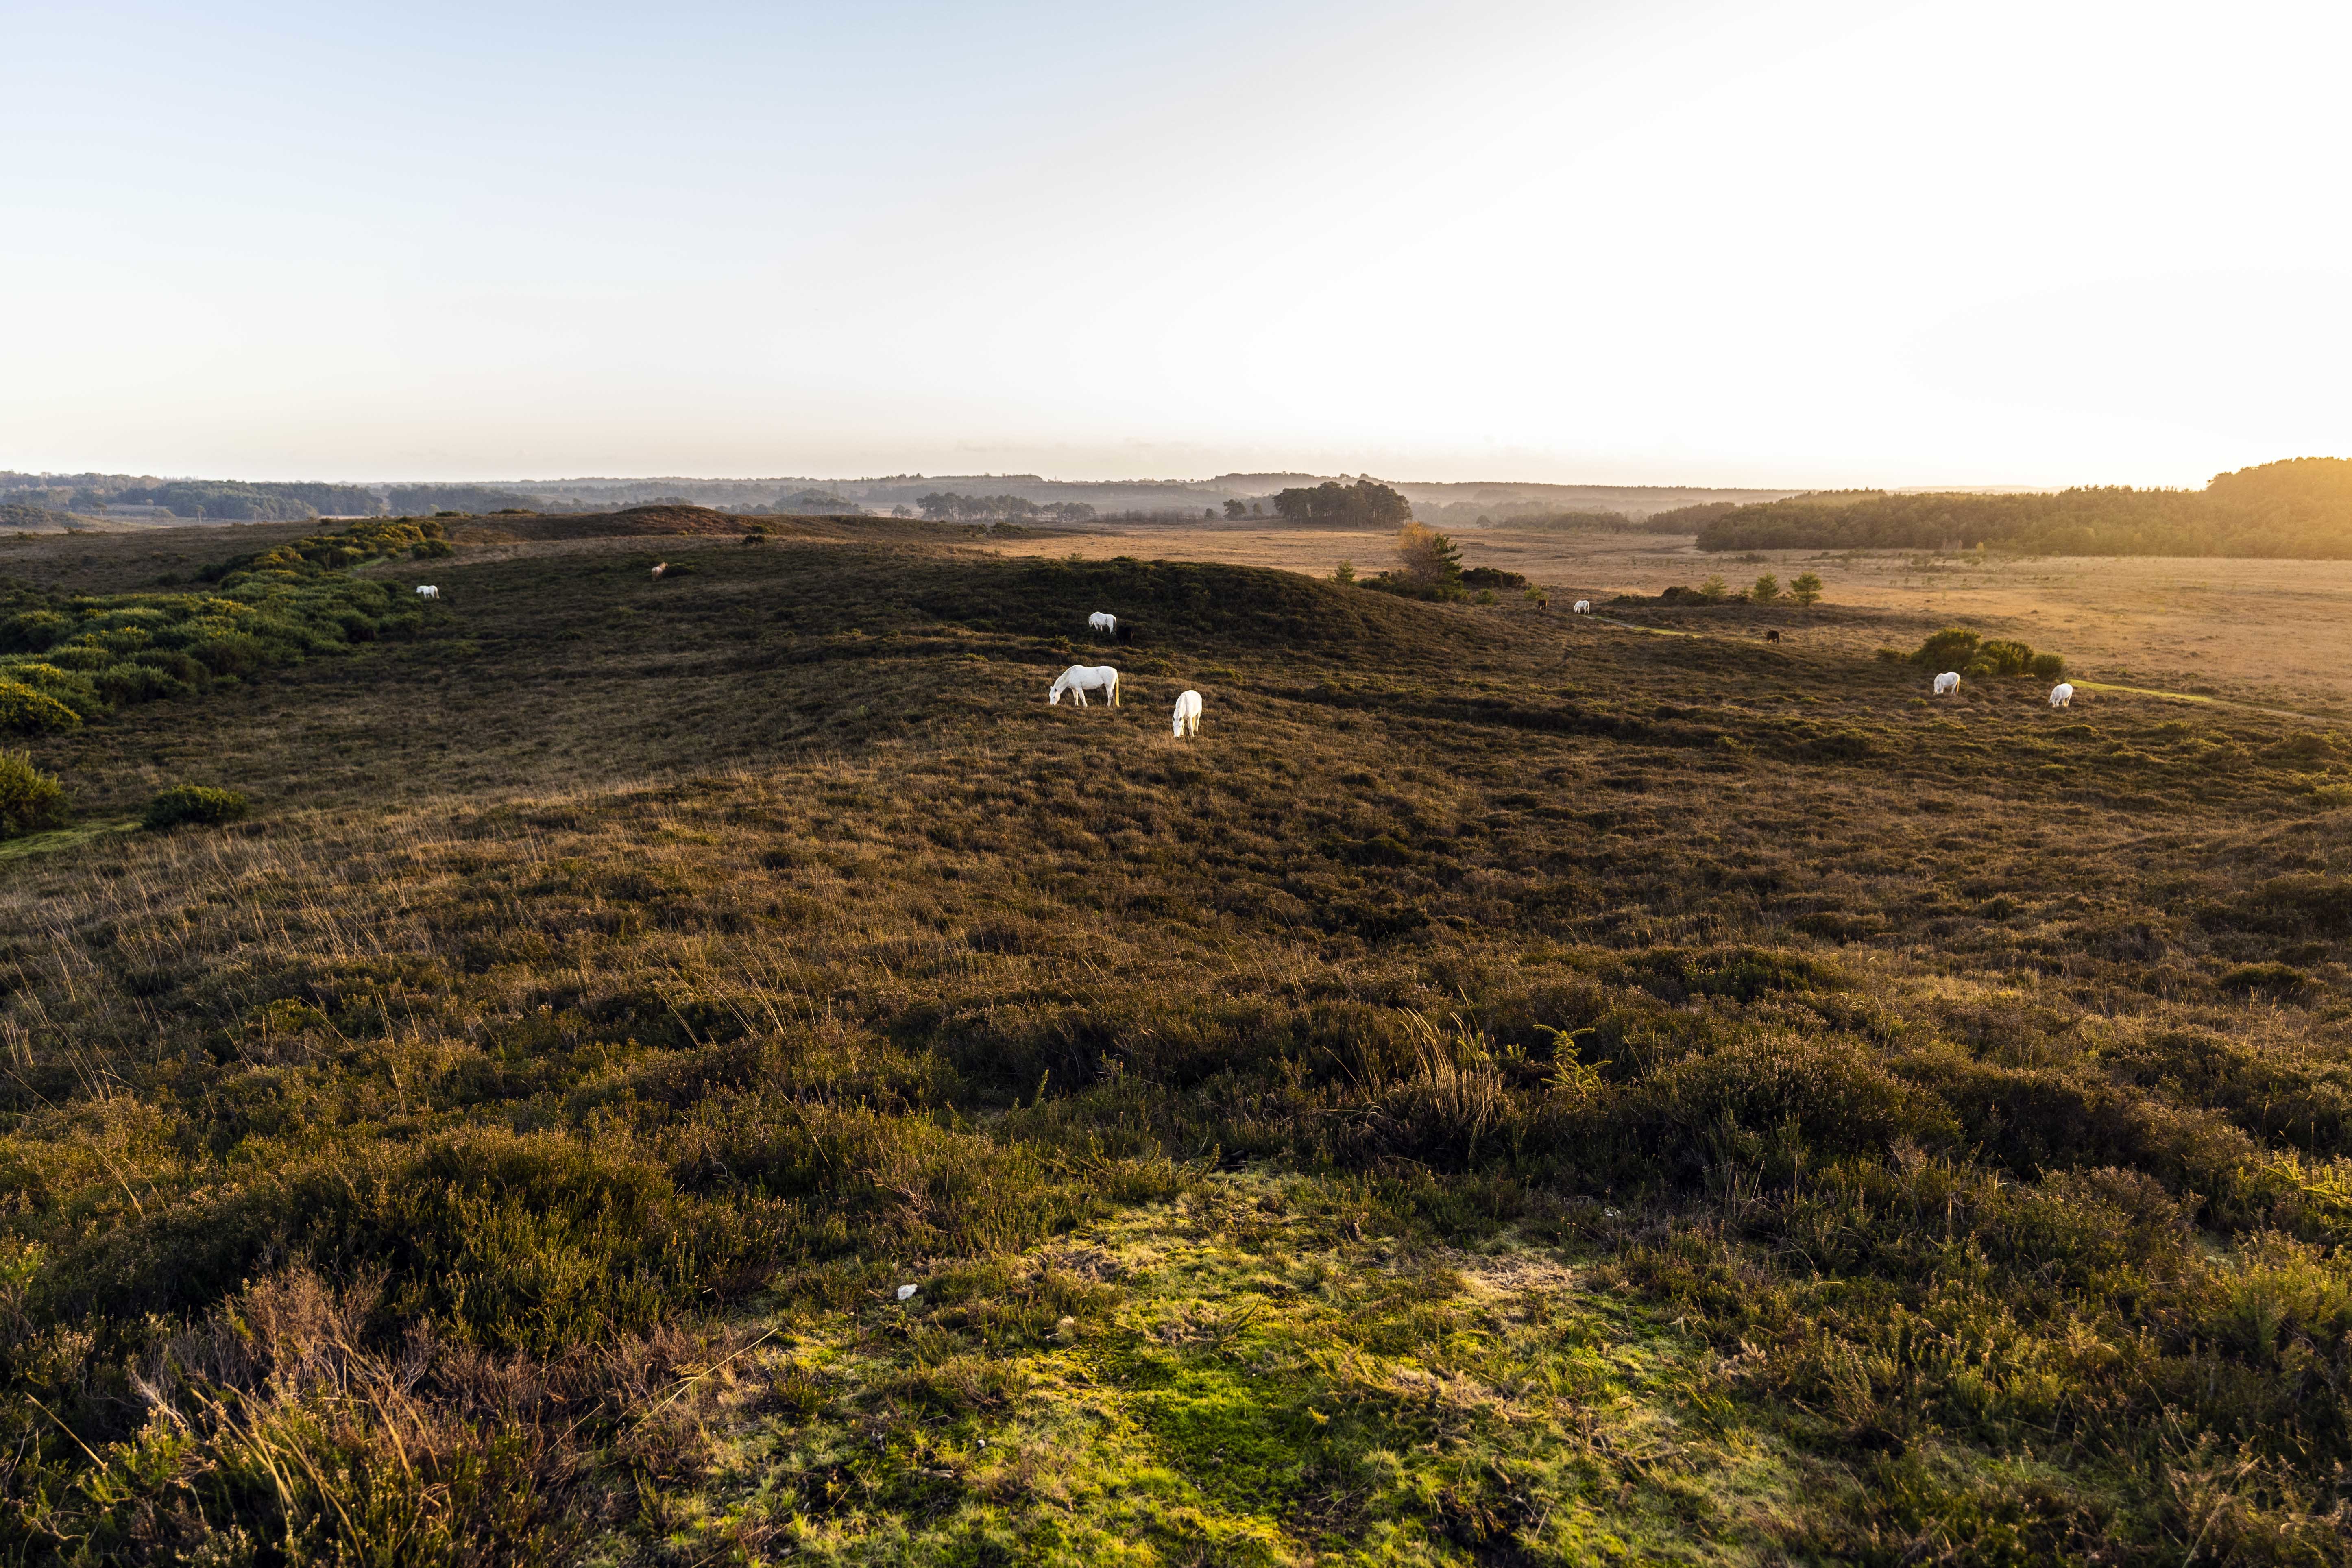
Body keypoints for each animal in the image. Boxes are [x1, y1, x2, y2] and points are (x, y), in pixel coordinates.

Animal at [1049, 665, 1120, 706]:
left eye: (1054, 697)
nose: (1052, 705)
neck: (1070, 675)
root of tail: (1115, 670)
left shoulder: (1079, 688)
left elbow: (1082, 697)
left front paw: (1085, 706)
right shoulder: (1074, 689)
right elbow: (1075, 697)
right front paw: (1076, 706)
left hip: (1109, 686)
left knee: (1110, 696)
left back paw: (1108, 706)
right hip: (1111, 687)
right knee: (1113, 696)